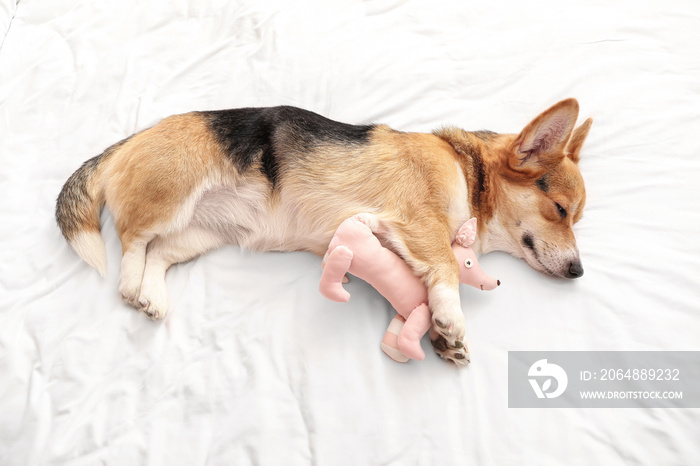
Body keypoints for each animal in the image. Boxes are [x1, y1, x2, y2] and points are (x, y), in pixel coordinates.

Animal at [56, 97, 592, 364]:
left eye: (576, 217)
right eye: (560, 210)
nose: (578, 272)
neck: (467, 169)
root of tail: (129, 142)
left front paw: (439, 339)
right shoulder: (419, 219)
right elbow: (444, 266)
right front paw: (451, 320)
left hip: (202, 232)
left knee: (159, 254)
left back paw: (152, 296)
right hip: (171, 199)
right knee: (133, 240)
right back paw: (130, 284)